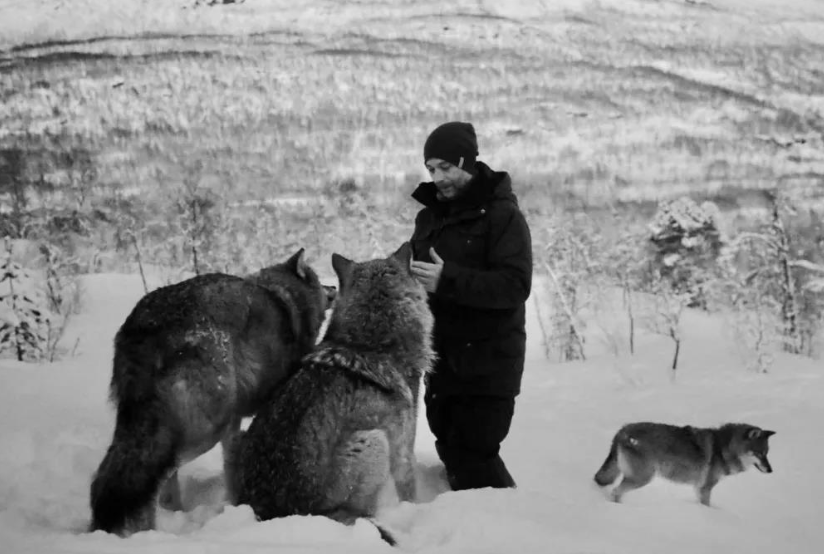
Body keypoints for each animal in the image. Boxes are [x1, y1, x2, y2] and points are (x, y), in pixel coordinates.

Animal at [88, 249, 334, 536]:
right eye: (319, 280)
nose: (334, 287)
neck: (286, 297)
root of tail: (148, 326)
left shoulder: (235, 422)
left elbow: (231, 461)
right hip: (204, 432)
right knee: (154, 478)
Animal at [224, 243, 432, 544]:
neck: (370, 343)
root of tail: (274, 514)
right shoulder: (402, 448)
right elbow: (409, 488)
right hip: (373, 440)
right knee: (360, 514)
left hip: (237, 436)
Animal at [592, 418, 772, 504]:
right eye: (759, 453)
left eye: (767, 453)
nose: (771, 470)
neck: (723, 448)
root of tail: (622, 430)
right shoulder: (705, 489)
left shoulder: (698, 489)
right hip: (642, 479)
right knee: (616, 491)